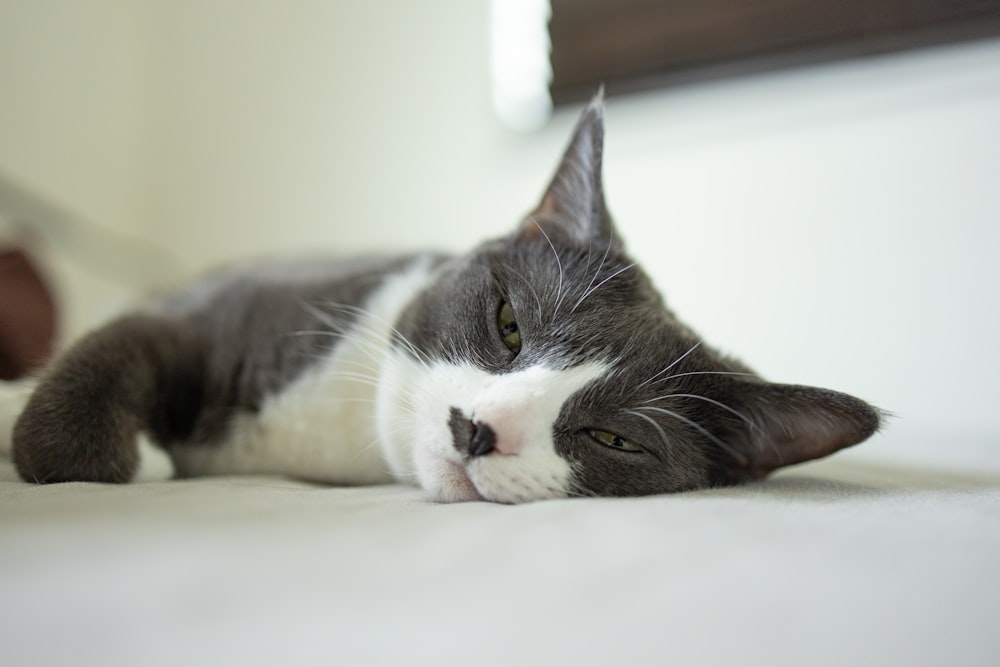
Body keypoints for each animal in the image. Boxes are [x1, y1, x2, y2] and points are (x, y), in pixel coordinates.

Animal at [1, 96, 876, 504]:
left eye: (612, 438)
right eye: (509, 323)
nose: (477, 428)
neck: (347, 438)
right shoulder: (237, 307)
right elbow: (105, 359)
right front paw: (124, 452)